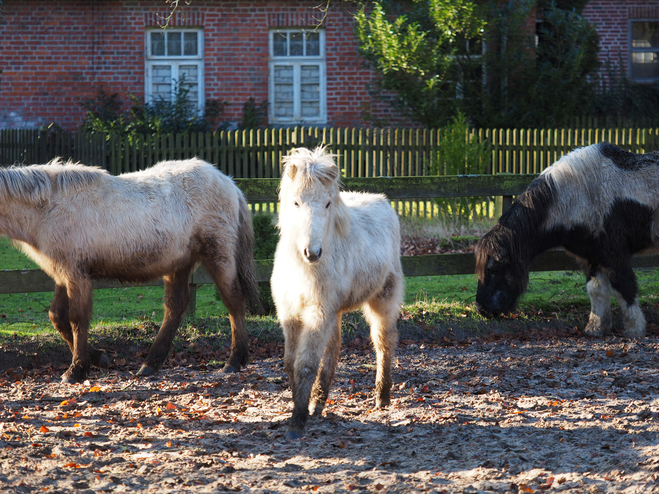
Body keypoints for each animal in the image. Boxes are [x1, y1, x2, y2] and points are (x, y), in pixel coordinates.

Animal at [0, 158, 262, 382]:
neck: (49, 207)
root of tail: (229, 182)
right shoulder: (63, 275)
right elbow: (57, 317)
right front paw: (99, 358)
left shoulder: (77, 276)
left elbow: (77, 320)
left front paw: (76, 370)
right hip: (180, 264)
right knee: (175, 308)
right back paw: (150, 364)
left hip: (219, 256)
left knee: (233, 301)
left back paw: (234, 361)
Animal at [270, 147, 404, 440]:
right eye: (296, 203)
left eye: (328, 204)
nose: (312, 252)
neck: (303, 269)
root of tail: (383, 202)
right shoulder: (290, 314)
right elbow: (290, 363)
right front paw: (300, 407)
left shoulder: (317, 313)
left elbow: (306, 364)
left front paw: (297, 421)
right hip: (334, 311)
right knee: (334, 349)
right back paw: (319, 402)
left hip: (382, 300)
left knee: (384, 342)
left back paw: (382, 396)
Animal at [474, 141, 659, 338]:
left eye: (495, 270)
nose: (481, 309)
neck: (578, 196)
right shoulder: (592, 257)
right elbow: (596, 290)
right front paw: (595, 329)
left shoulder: (614, 256)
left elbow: (624, 288)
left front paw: (634, 329)